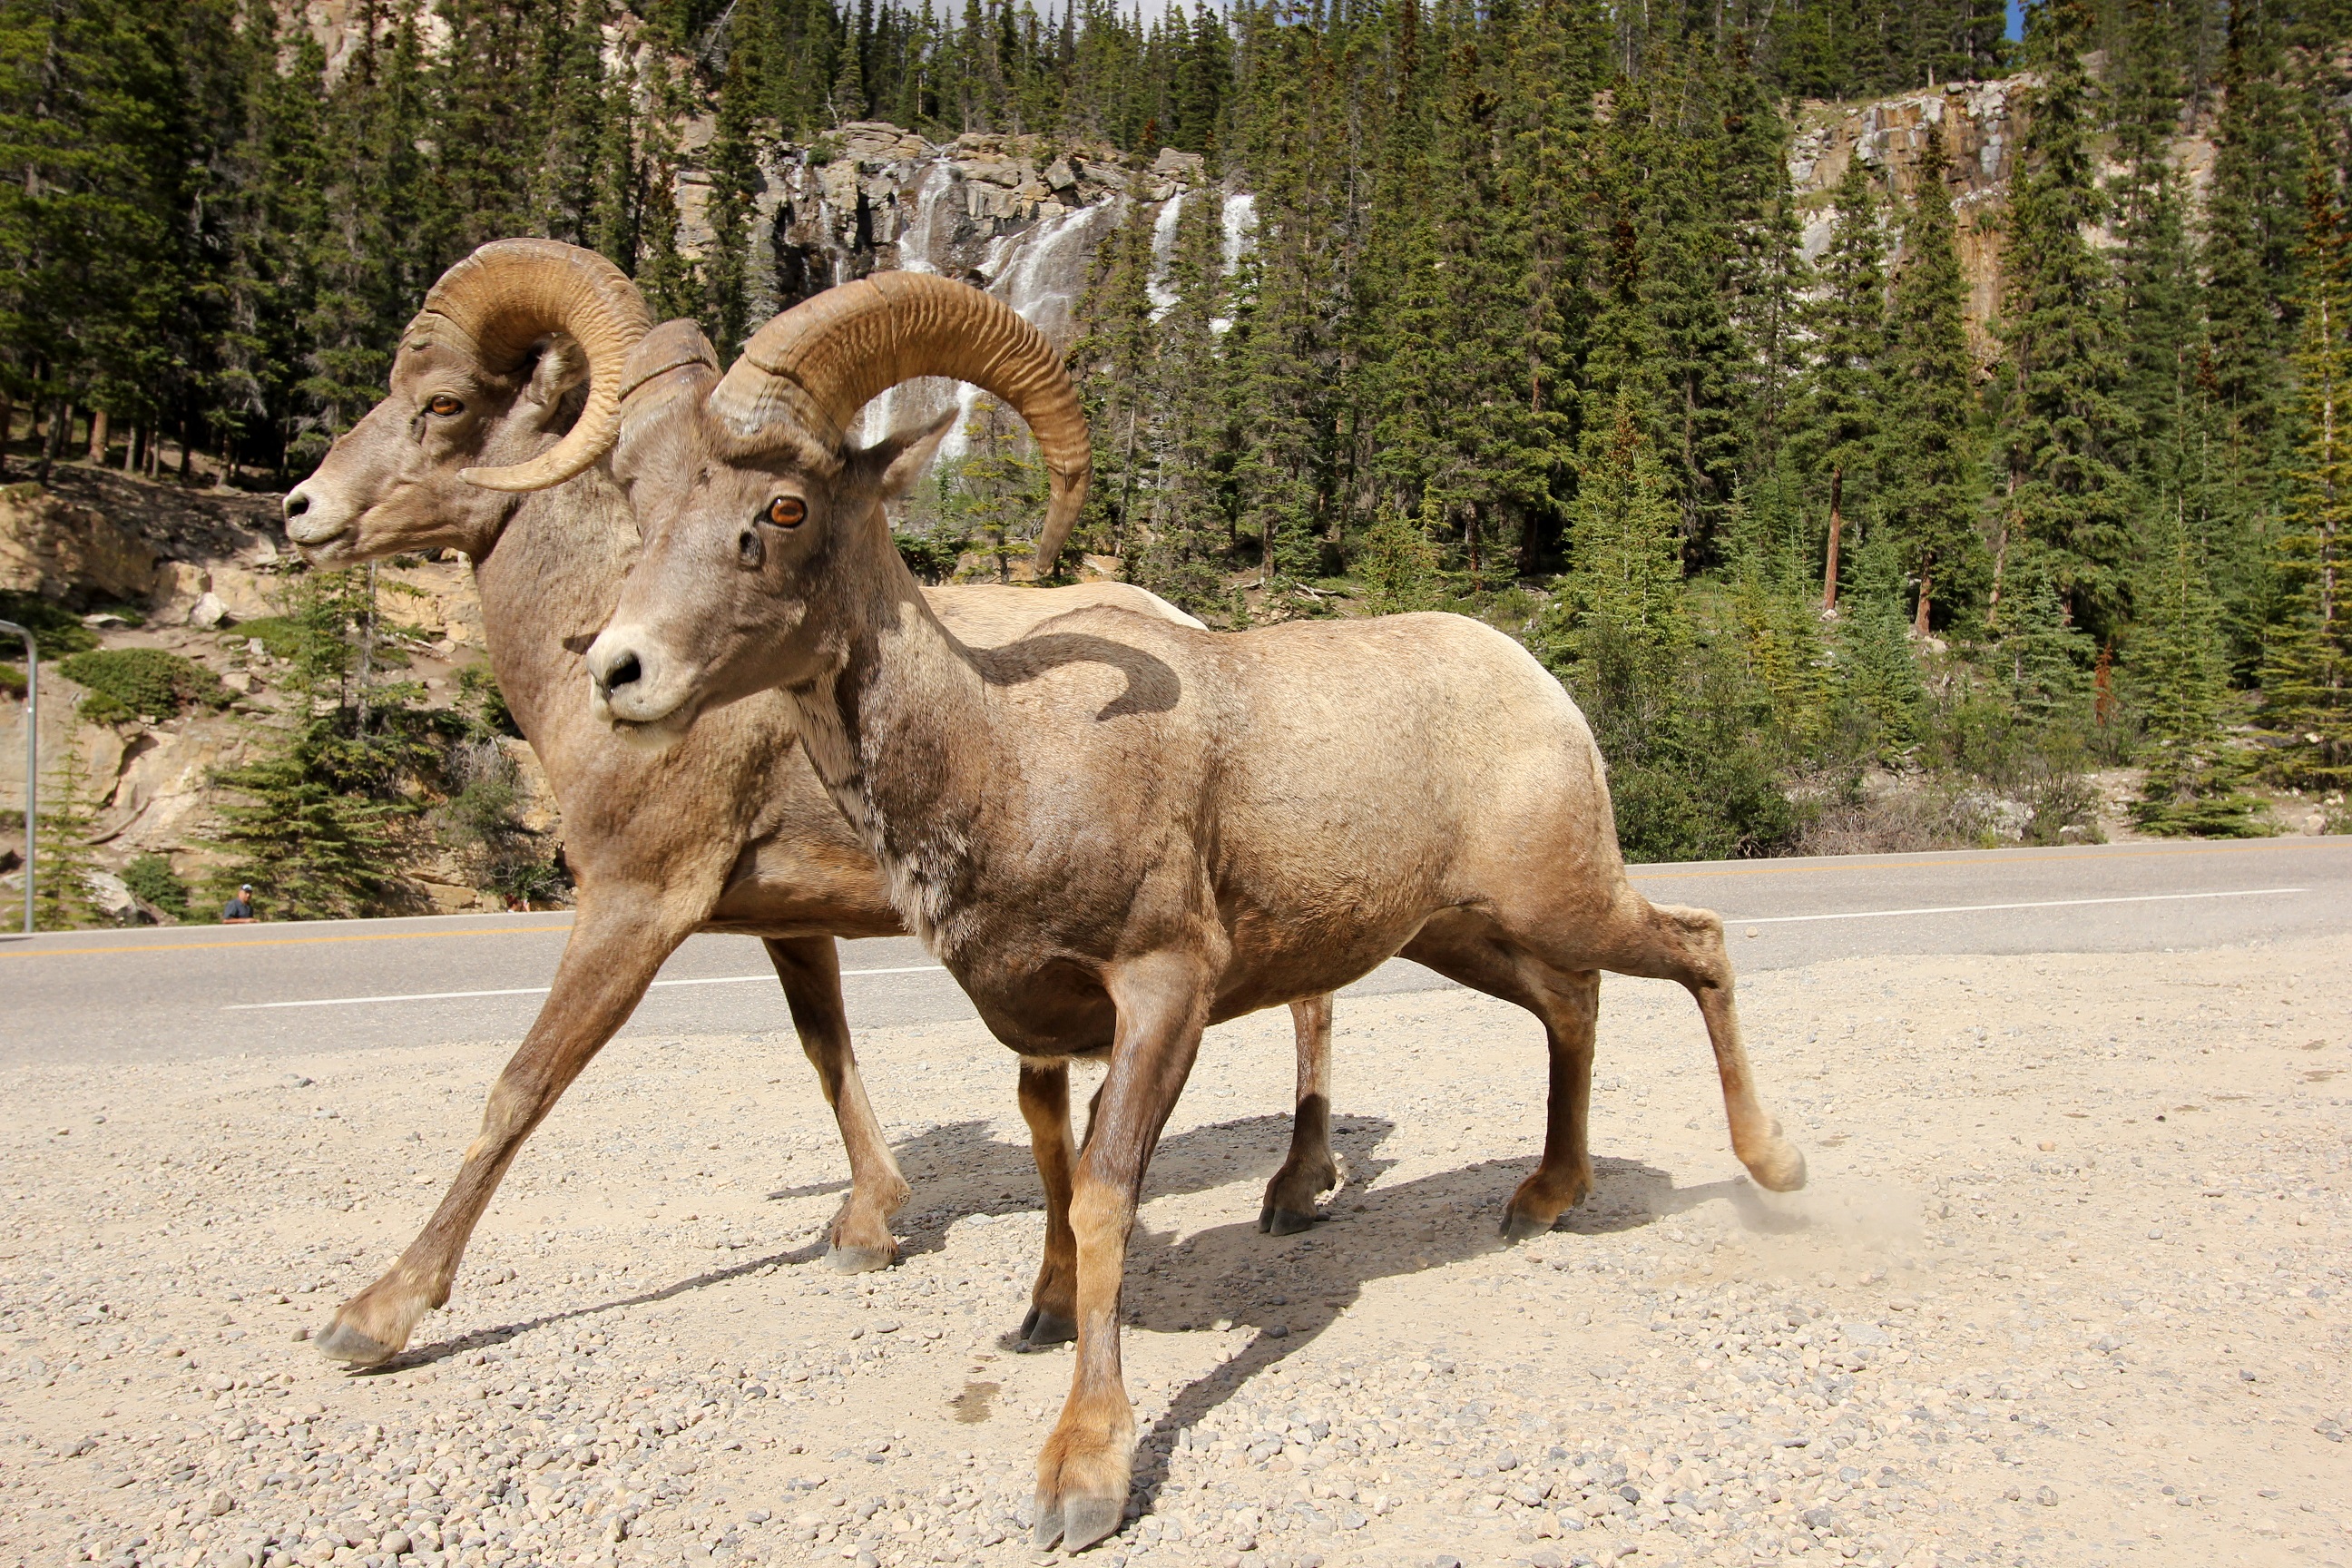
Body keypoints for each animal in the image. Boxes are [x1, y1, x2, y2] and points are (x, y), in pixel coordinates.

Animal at [276, 241, 1343, 1370]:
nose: (301, 510)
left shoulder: (633, 903)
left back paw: (1295, 1191)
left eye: (442, 404)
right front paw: (868, 1227)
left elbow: (520, 1087)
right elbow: (826, 1051)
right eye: (646, 501)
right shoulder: (788, 926)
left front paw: (373, 1317)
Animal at [559, 272, 1809, 1551]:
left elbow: (1108, 1200)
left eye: (784, 506)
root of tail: (1541, 685)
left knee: (1699, 951)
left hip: (1563, 898)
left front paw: (1084, 1477)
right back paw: (1543, 1200)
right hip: (1463, 936)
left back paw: (1773, 1171)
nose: (616, 671)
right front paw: (1038, 1319)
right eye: (647, 504)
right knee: (1575, 1009)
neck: (1008, 759)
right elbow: (1054, 1178)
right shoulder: (1040, 1033)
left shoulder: (1165, 995)